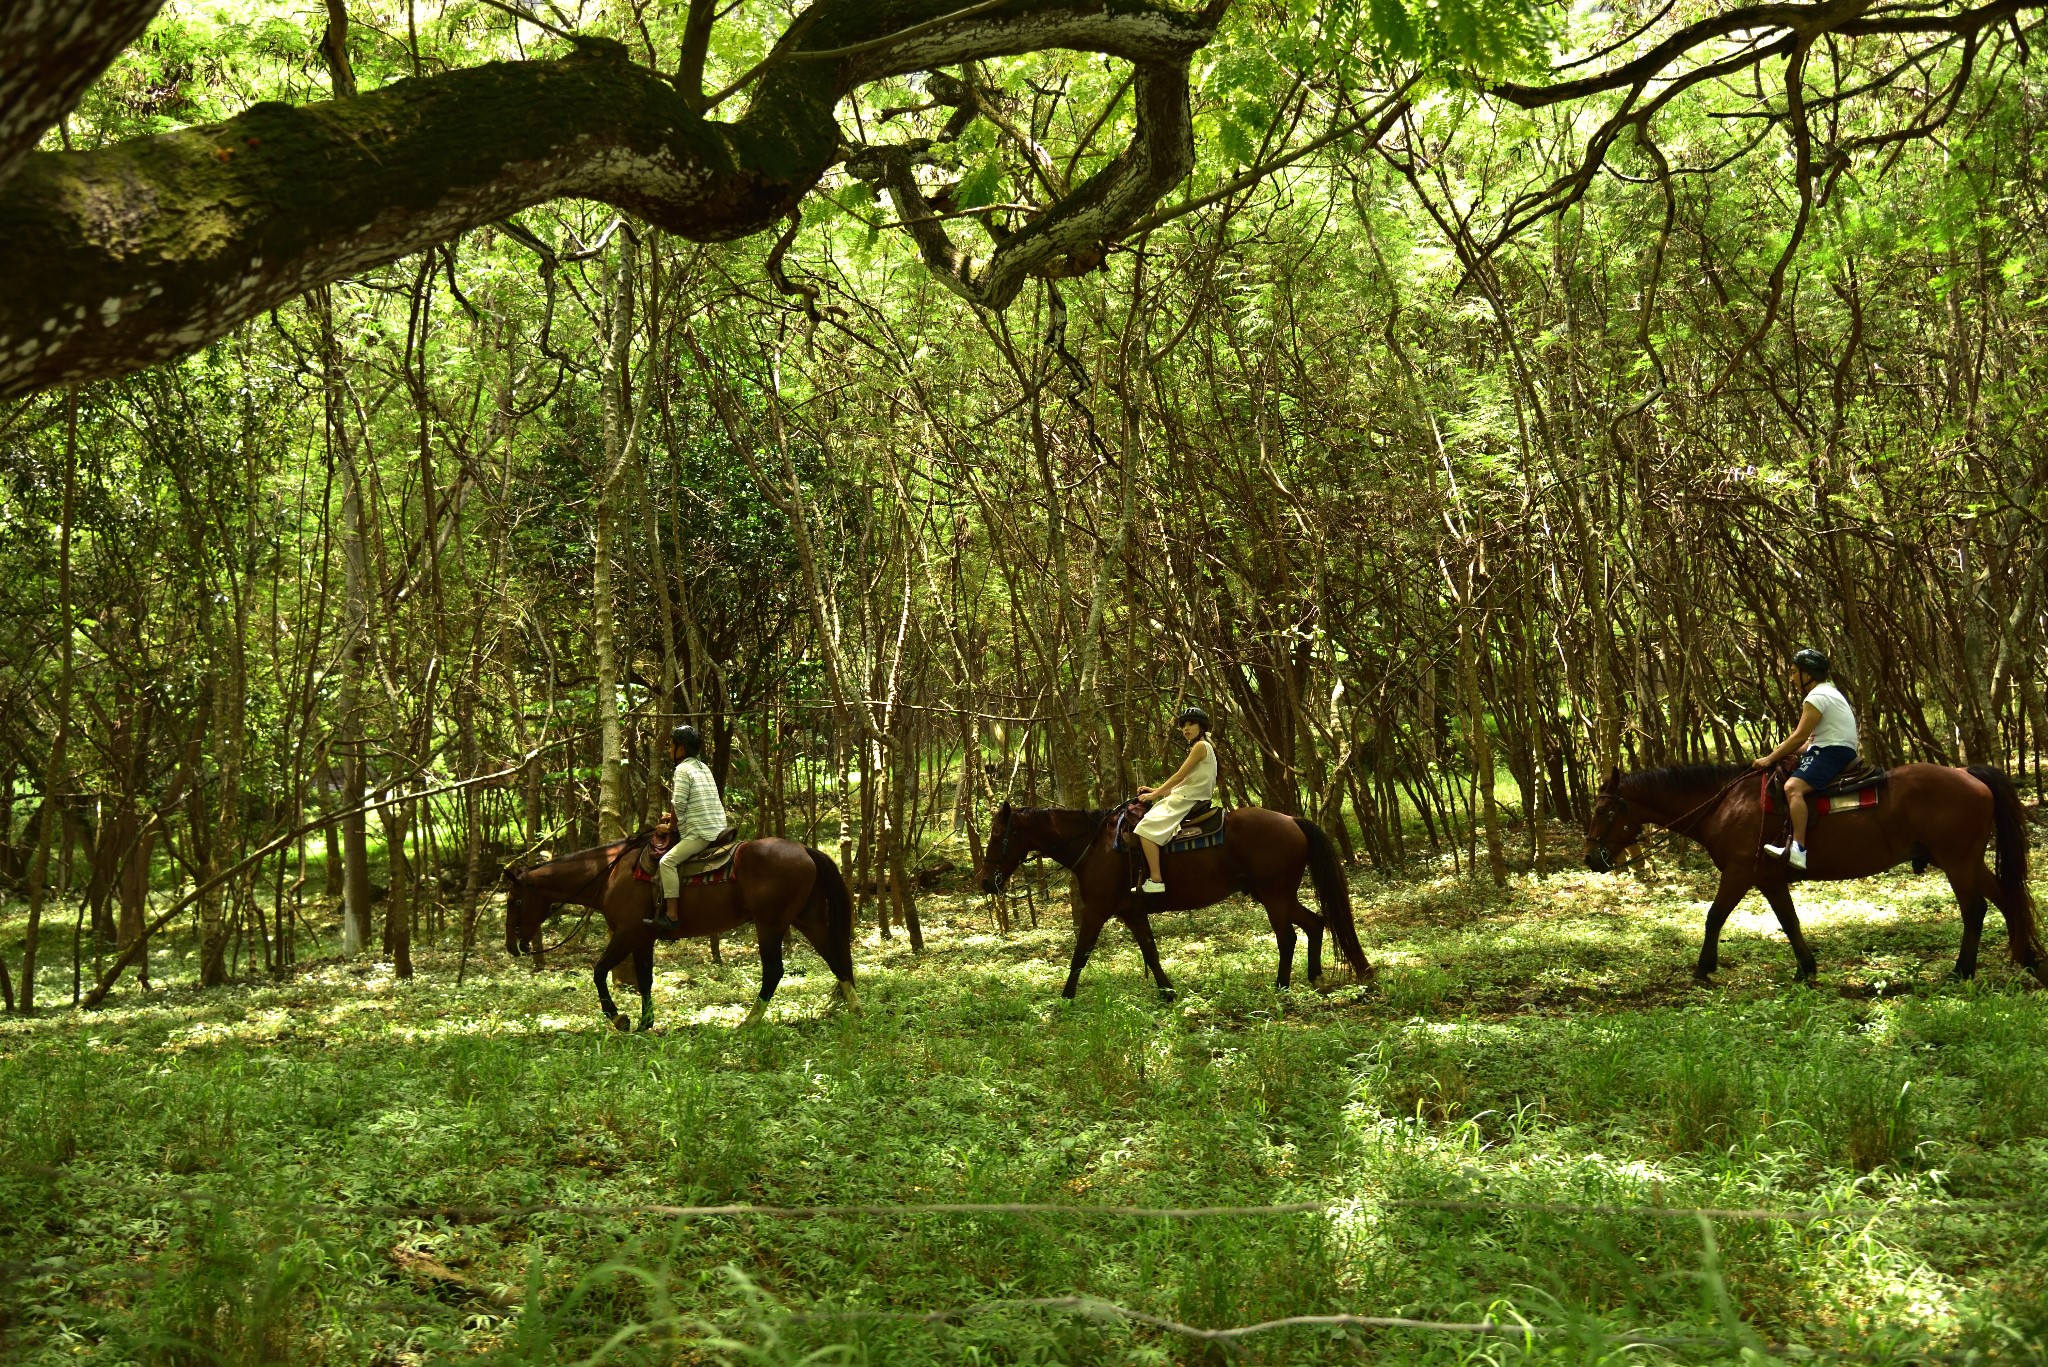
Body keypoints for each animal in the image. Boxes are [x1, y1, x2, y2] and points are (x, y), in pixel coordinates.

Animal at [512, 827, 864, 1032]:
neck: (609, 874)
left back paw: (748, 1022)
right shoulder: (643, 938)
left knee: (774, 971)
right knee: (836, 960)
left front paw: (620, 1018)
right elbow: (645, 981)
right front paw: (645, 1024)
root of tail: (804, 850)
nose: (513, 946)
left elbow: (599, 972)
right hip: (808, 918)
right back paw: (856, 1011)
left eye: (514, 900)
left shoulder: (626, 933)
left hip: (771, 923)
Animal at [974, 803, 1376, 1004]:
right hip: (1275, 894)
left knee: (1288, 937)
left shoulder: (1097, 911)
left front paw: (1065, 1000)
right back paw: (1314, 977)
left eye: (997, 834)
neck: (1096, 846)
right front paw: (1168, 994)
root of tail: (1291, 819)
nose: (984, 882)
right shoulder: (1132, 913)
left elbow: (1080, 954)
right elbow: (1151, 954)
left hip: (1275, 895)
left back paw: (1282, 987)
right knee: (1316, 922)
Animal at [1581, 758, 2048, 983]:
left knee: (1975, 909)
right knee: (2007, 900)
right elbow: (1790, 922)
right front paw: (1806, 969)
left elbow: (1714, 917)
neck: (1724, 805)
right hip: (1966, 859)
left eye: (1604, 811)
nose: (1590, 858)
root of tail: (1969, 775)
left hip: (1956, 860)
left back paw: (1962, 971)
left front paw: (1703, 968)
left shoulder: (1738, 874)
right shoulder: (1768, 880)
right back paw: (2029, 960)